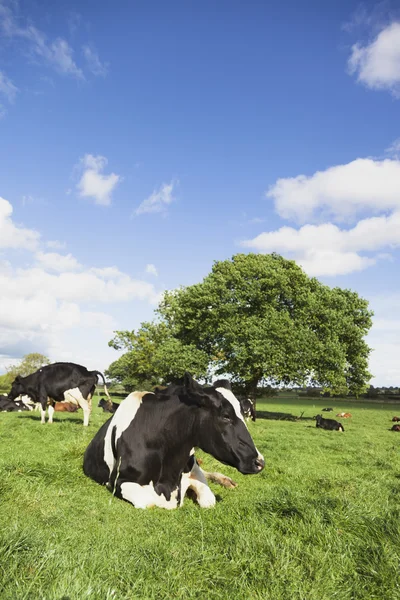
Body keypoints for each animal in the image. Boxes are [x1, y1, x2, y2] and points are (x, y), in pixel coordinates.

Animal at [83, 372, 266, 508]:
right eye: (226, 416)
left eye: (242, 412)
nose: (260, 462)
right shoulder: (119, 481)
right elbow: (150, 502)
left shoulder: (192, 469)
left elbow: (209, 500)